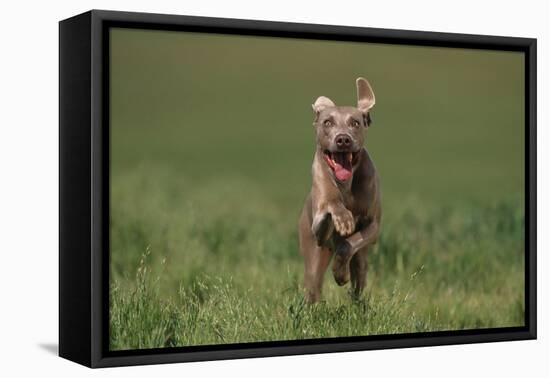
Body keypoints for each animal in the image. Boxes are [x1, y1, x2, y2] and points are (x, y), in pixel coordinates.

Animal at [300, 77, 382, 304]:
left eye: (355, 122)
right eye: (327, 122)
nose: (343, 139)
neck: (346, 184)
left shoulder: (372, 226)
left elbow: (348, 244)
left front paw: (340, 273)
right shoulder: (318, 228)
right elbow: (329, 210)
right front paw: (340, 216)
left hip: (361, 261)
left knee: (358, 279)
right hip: (312, 254)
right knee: (313, 285)